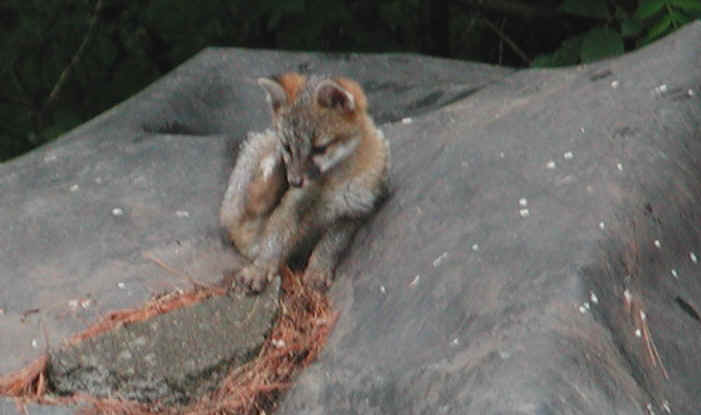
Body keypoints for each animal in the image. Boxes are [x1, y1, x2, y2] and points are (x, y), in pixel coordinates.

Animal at [220, 72, 390, 293]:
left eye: (319, 149)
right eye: (287, 147)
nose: (294, 181)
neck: (333, 183)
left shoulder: (353, 213)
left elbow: (328, 246)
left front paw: (318, 270)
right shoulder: (292, 204)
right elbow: (273, 241)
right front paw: (261, 268)